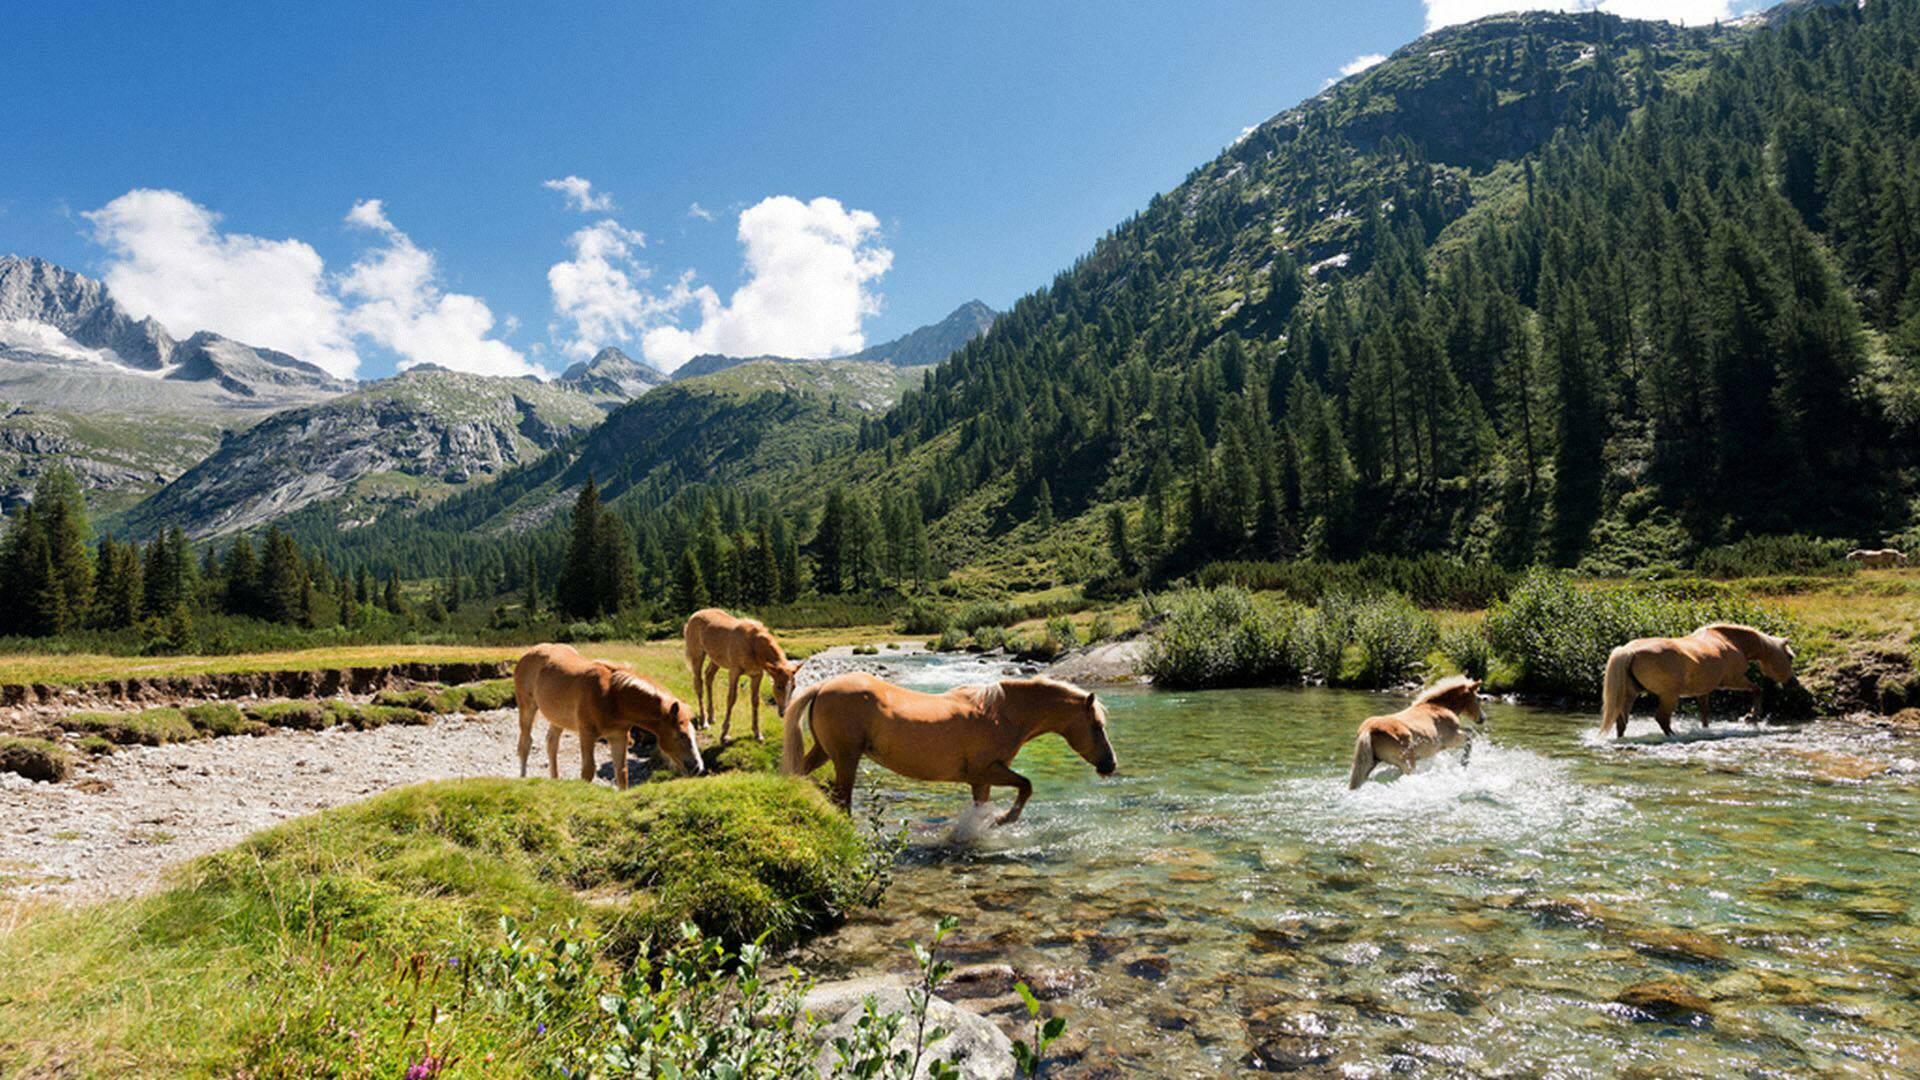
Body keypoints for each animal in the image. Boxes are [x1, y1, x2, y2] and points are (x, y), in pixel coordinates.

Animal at [514, 638, 710, 780]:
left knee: (551, 744)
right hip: (527, 708)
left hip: (558, 718)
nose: (698, 767)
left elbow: (621, 771)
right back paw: (523, 778)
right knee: (526, 743)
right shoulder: (587, 735)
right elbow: (588, 771)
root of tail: (528, 653)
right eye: (681, 735)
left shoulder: (618, 736)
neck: (612, 697)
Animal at [687, 607, 798, 737]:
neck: (753, 646)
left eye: (794, 686)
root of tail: (694, 615)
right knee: (698, 684)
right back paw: (704, 721)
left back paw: (711, 717)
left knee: (709, 677)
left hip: (716, 660)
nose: (784, 713)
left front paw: (757, 733)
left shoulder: (757, 675)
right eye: (779, 686)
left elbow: (755, 700)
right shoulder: (734, 672)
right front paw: (724, 733)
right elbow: (731, 699)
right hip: (697, 655)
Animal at [775, 668, 1121, 818]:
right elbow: (1026, 786)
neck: (1000, 712)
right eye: (1097, 725)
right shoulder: (987, 770)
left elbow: (986, 802)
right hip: (846, 758)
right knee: (841, 799)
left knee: (802, 773)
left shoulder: (982, 779)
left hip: (825, 752)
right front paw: (1002, 821)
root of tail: (823, 687)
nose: (1110, 764)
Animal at [1351, 668, 1482, 787]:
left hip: (1371, 765)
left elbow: (1470, 731)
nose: (1482, 718)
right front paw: (1464, 763)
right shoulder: (1452, 739)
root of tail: (1368, 730)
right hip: (1408, 764)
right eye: (1478, 699)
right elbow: (1469, 737)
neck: (1439, 707)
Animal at [1597, 618, 1789, 734]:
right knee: (1662, 719)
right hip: (1669, 696)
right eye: (1790, 657)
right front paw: (1751, 717)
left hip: (1631, 694)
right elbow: (1757, 689)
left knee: (1622, 720)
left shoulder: (1703, 691)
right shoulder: (1734, 680)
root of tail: (1629, 651)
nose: (1791, 681)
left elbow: (1705, 714)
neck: (1728, 640)